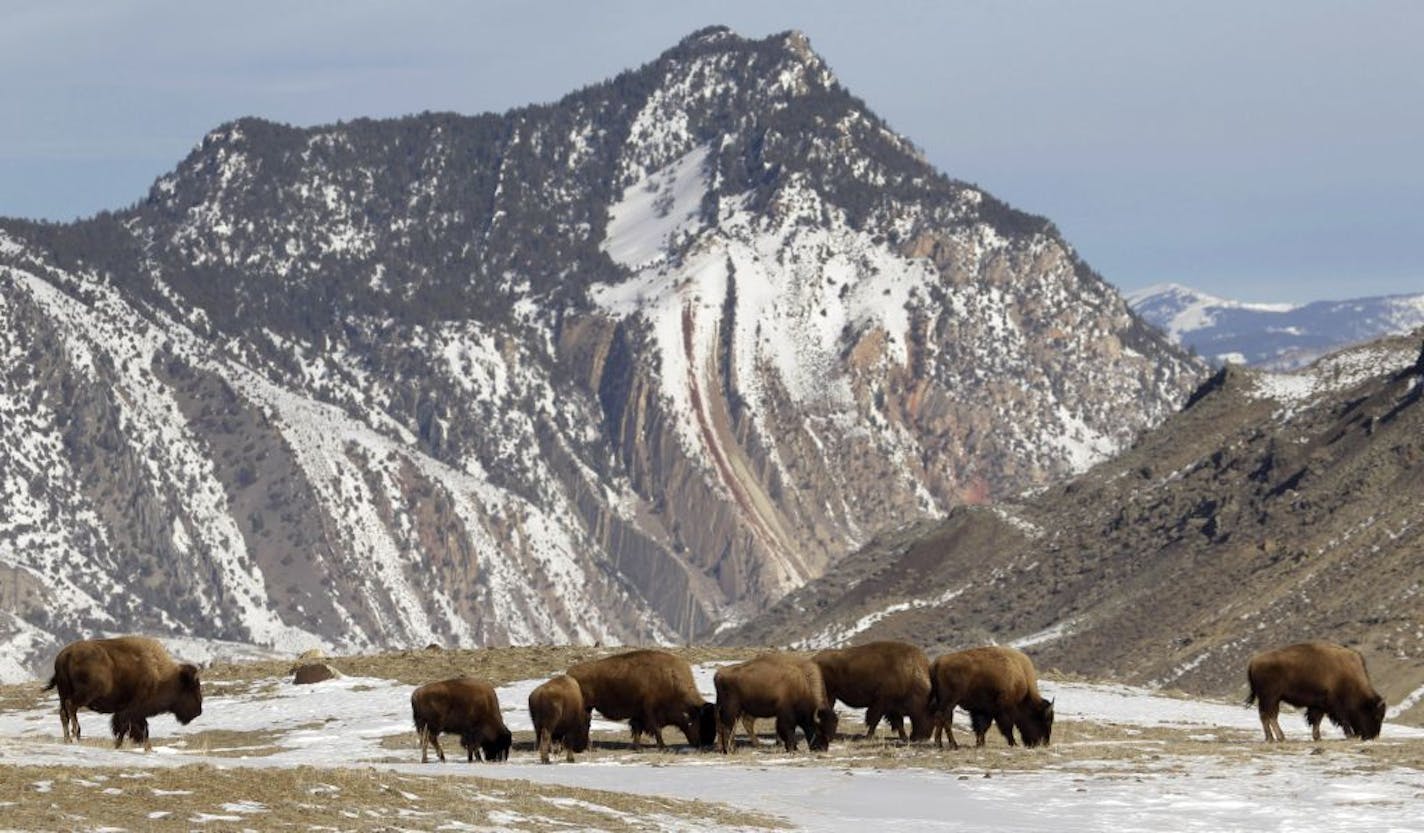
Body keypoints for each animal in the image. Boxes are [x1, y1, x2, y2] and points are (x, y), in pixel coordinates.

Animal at [43, 632, 203, 751]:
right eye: (192, 689)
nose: (198, 711)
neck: (160, 674)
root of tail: (66, 655)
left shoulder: (130, 712)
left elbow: (134, 729)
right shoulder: (133, 710)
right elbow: (133, 728)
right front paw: (124, 746)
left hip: (63, 694)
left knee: (63, 713)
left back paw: (67, 740)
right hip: (84, 695)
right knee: (71, 707)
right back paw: (76, 736)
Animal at [566, 646, 717, 751]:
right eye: (701, 722)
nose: (703, 743)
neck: (670, 681)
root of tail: (570, 673)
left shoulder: (639, 715)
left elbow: (637, 729)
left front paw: (637, 747)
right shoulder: (650, 713)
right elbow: (656, 729)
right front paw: (663, 747)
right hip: (585, 708)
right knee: (585, 724)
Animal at [1247, 637, 1389, 740]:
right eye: (1376, 716)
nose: (1372, 736)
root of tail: (1254, 661)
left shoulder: (1320, 704)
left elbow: (1317, 720)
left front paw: (1317, 737)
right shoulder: (1335, 705)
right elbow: (1341, 720)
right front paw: (1350, 736)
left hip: (1273, 698)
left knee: (1270, 716)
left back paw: (1276, 737)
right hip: (1270, 697)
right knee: (1267, 715)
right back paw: (1276, 738)